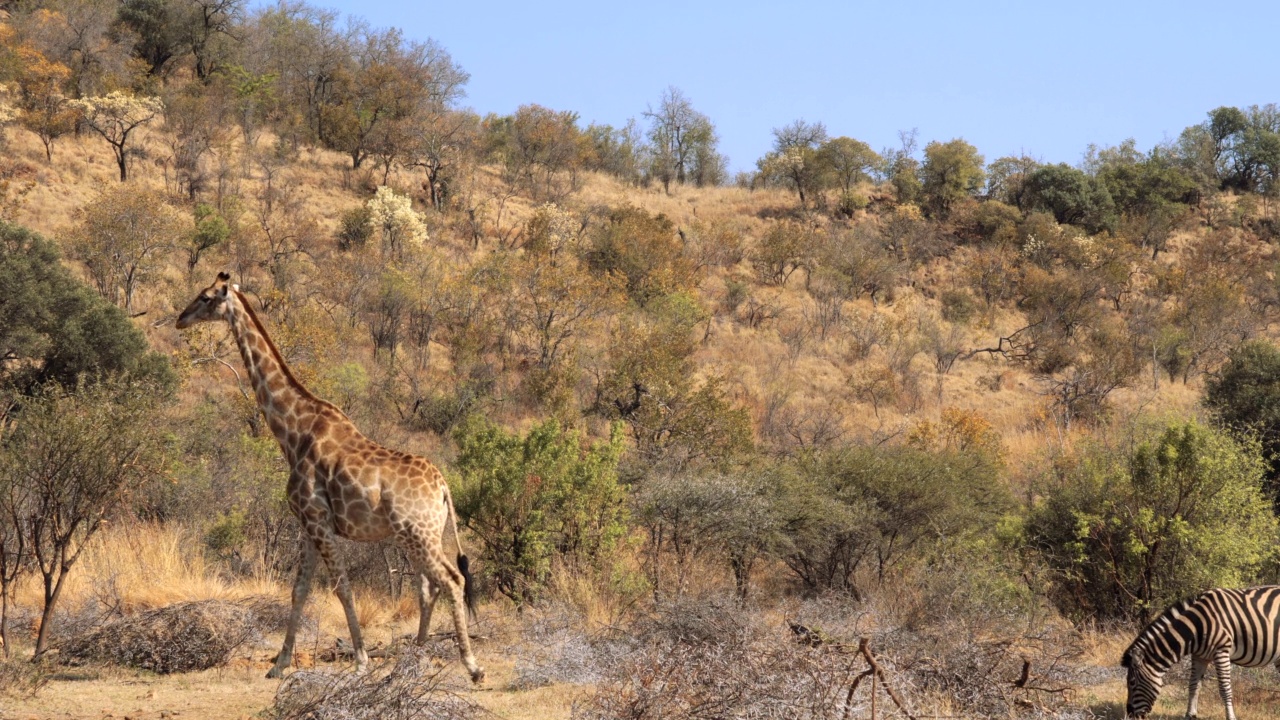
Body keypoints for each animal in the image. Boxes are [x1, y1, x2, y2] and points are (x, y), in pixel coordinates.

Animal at [175, 271, 483, 681]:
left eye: (207, 297)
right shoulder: (307, 525)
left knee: (450, 580)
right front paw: (279, 666)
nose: (180, 319)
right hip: (418, 535)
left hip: (418, 533)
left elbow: (341, 587)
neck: (293, 433)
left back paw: (471, 665)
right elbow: (300, 591)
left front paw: (361, 660)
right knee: (430, 586)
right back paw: (412, 660)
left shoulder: (316, 519)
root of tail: (444, 487)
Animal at [1126, 584, 1280, 717]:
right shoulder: (1199, 656)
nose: (1129, 714)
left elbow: (1224, 688)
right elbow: (1193, 684)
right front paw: (1190, 715)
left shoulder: (1221, 651)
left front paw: (1231, 717)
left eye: (1132, 683)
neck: (1197, 626)